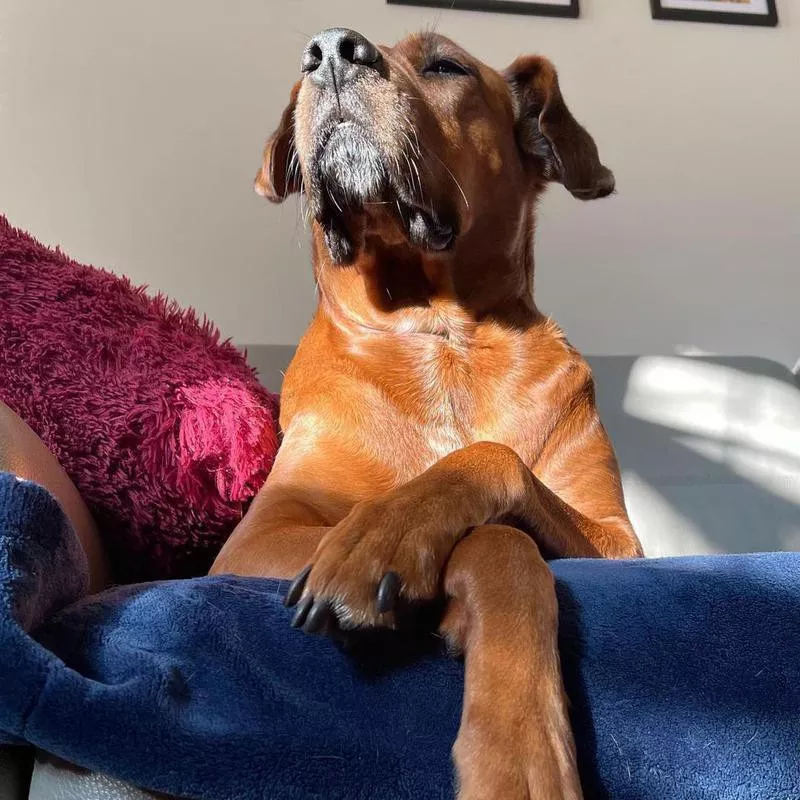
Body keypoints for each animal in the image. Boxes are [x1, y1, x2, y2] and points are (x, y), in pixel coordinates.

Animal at [208, 28, 644, 796]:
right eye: (301, 76)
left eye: (446, 66)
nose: (331, 51)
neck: (437, 337)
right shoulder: (255, 541)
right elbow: (498, 537)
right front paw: (374, 537)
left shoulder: (621, 541)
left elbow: (497, 490)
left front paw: (520, 757)